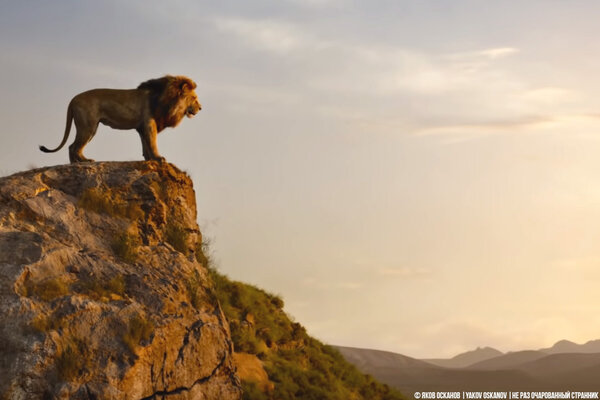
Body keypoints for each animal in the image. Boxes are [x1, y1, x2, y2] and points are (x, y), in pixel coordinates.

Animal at [38, 75, 202, 162]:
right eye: (194, 98)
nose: (201, 108)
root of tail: (73, 100)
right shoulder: (149, 123)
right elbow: (152, 142)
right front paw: (158, 158)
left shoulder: (142, 126)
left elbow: (145, 144)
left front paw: (149, 159)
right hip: (88, 126)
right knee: (74, 147)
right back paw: (84, 162)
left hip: (91, 128)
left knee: (72, 147)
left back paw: (76, 165)